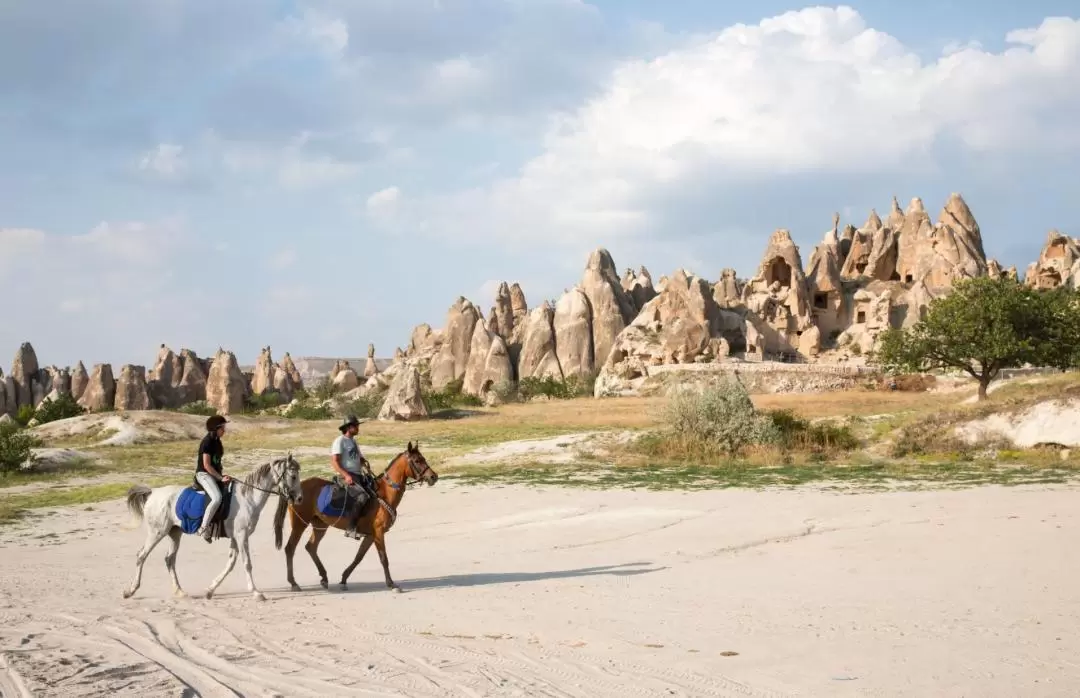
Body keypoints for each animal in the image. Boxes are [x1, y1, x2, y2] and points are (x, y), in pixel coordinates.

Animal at [122, 455, 304, 605]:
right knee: (142, 555)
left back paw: (180, 592)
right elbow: (247, 563)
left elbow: (230, 564)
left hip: (174, 533)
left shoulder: (235, 538)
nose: (300, 498)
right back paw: (130, 591)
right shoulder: (242, 536)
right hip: (157, 532)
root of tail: (153, 493)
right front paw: (256, 593)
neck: (248, 498)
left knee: (169, 559)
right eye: (293, 476)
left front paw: (210, 590)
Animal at [272, 440, 436, 592]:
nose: (433, 477)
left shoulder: (370, 535)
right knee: (290, 549)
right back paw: (293, 583)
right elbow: (384, 558)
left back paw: (324, 578)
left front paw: (344, 579)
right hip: (300, 524)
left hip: (320, 525)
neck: (384, 494)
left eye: (423, 458)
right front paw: (391, 584)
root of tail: (293, 489)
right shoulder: (378, 533)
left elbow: (358, 557)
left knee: (311, 547)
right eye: (417, 461)